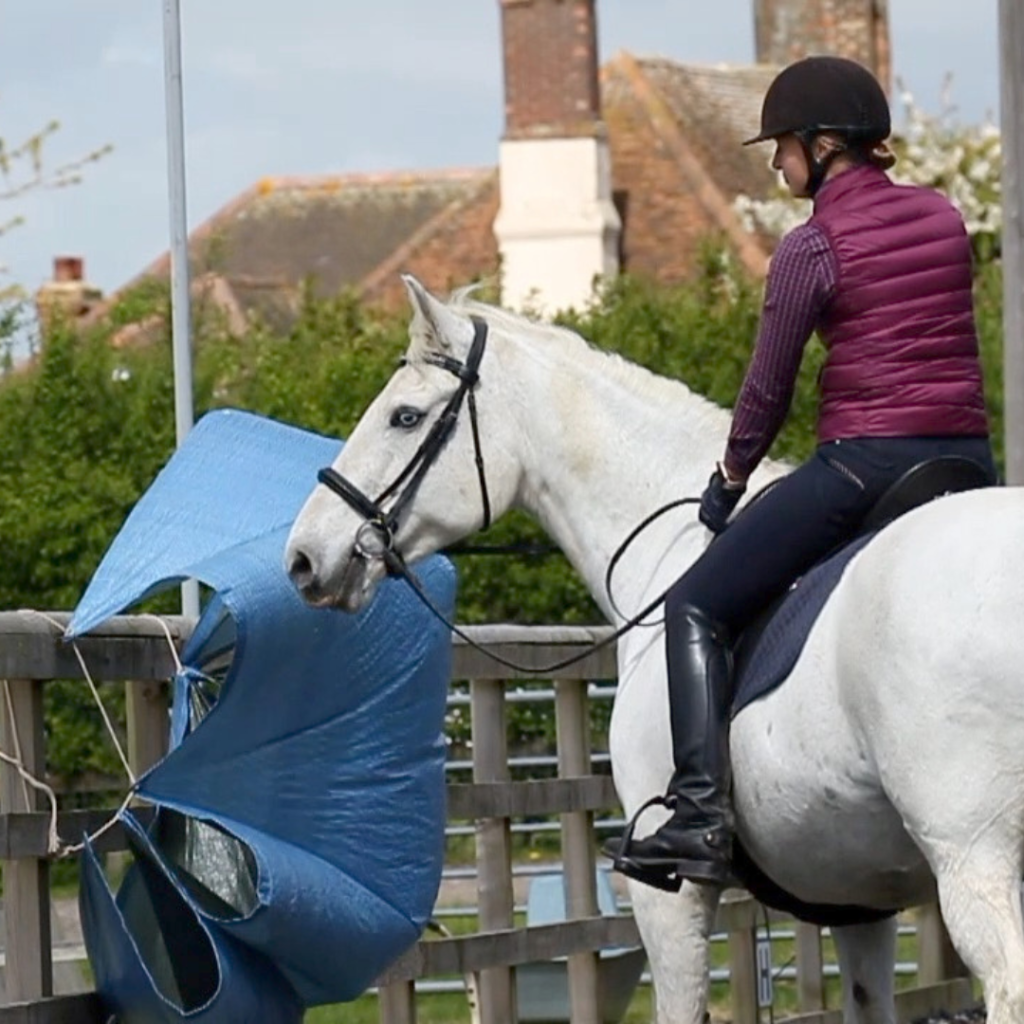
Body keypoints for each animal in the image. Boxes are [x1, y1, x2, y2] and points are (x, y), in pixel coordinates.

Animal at [284, 274, 1024, 1024]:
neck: (670, 544)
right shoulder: (855, 900)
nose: (304, 558)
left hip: (971, 853)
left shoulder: (668, 895)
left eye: (404, 417)